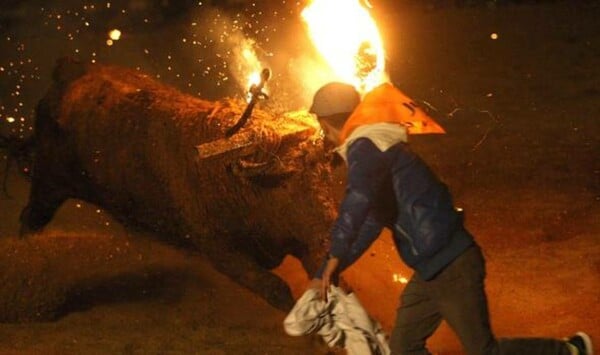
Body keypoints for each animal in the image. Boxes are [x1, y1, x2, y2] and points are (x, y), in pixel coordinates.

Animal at [19, 58, 338, 312]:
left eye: (325, 170)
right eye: (290, 175)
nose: (332, 226)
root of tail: (70, 70)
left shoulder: (308, 245)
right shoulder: (220, 251)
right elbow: (277, 289)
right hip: (48, 183)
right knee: (30, 220)